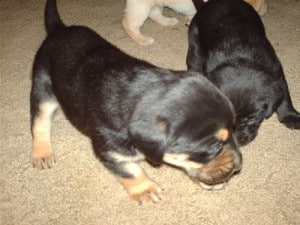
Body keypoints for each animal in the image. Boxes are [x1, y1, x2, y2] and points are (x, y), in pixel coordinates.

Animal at [30, 0, 241, 202]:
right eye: (213, 147)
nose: (239, 166)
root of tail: (59, 29)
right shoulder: (109, 150)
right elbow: (131, 172)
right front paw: (145, 189)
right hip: (43, 87)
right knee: (39, 122)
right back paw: (42, 152)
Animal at [188, 0, 300, 145]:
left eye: (251, 119)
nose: (236, 141)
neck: (241, 59)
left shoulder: (277, 73)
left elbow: (285, 99)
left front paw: (290, 116)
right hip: (194, 43)